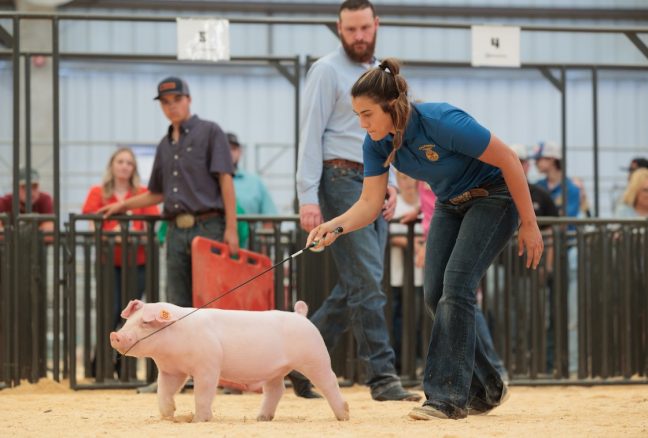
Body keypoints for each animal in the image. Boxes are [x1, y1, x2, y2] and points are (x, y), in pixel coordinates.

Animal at [109, 300, 350, 422]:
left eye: (145, 323)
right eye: (129, 320)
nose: (116, 335)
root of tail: (300, 315)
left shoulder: (208, 366)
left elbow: (203, 394)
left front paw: (199, 420)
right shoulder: (171, 371)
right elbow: (164, 392)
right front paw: (169, 415)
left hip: (315, 357)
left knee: (329, 382)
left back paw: (343, 416)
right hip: (276, 370)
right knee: (276, 390)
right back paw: (261, 418)